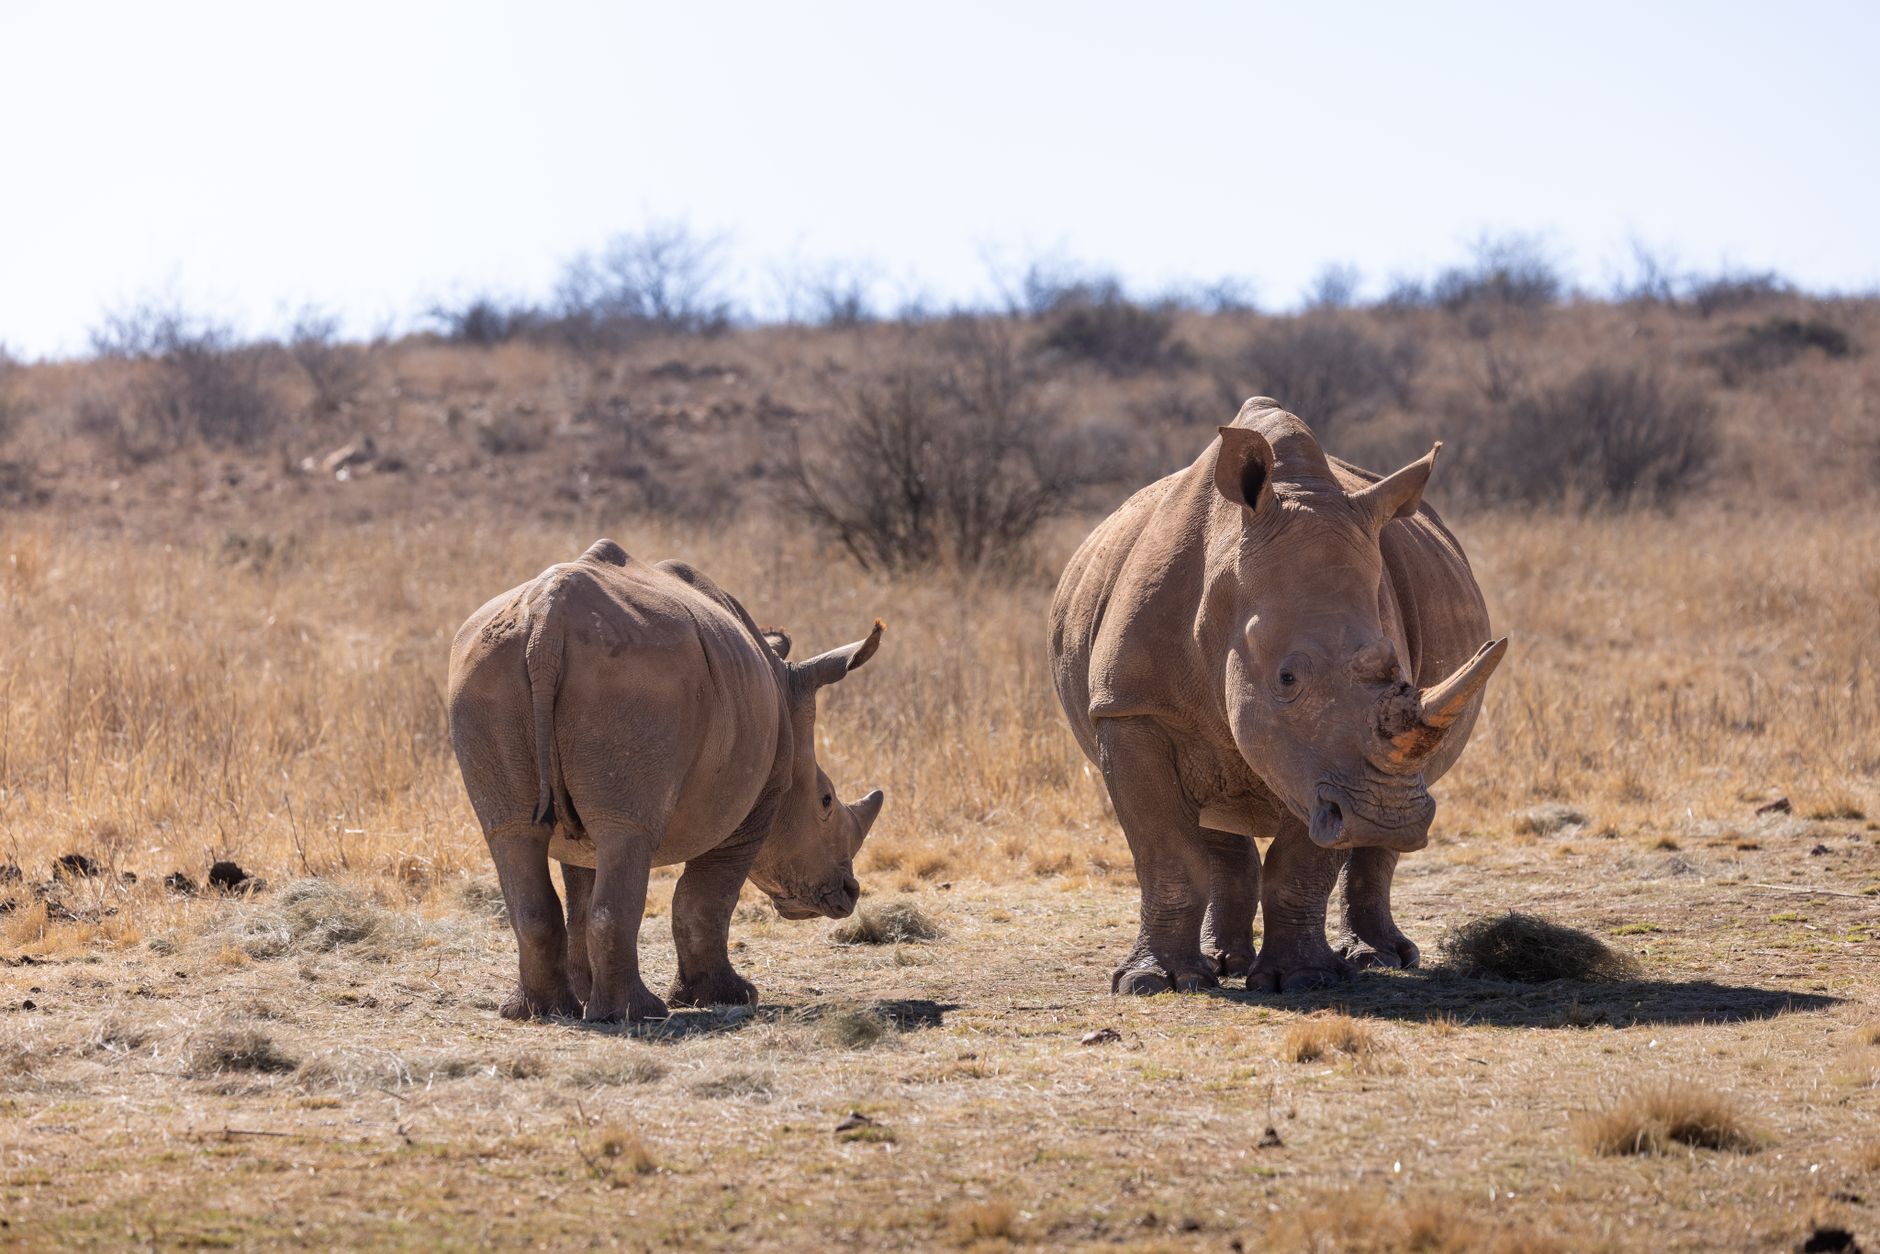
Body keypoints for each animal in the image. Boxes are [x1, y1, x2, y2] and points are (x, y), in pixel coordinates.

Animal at [447, 539, 885, 1023]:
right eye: (825, 801)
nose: (848, 894)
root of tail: (546, 623)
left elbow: (581, 887)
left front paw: (584, 993)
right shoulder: (756, 804)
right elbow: (705, 899)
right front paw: (727, 997)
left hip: (487, 673)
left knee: (512, 834)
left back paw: (540, 1012)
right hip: (635, 678)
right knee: (627, 834)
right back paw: (636, 1014)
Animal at [1050, 399, 1506, 994]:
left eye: (1402, 674)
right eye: (1286, 679)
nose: (1387, 818)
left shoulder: (1321, 767)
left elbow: (1302, 860)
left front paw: (1304, 979)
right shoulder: (1130, 706)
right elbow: (1165, 851)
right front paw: (1156, 982)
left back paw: (1378, 959)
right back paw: (1221, 965)